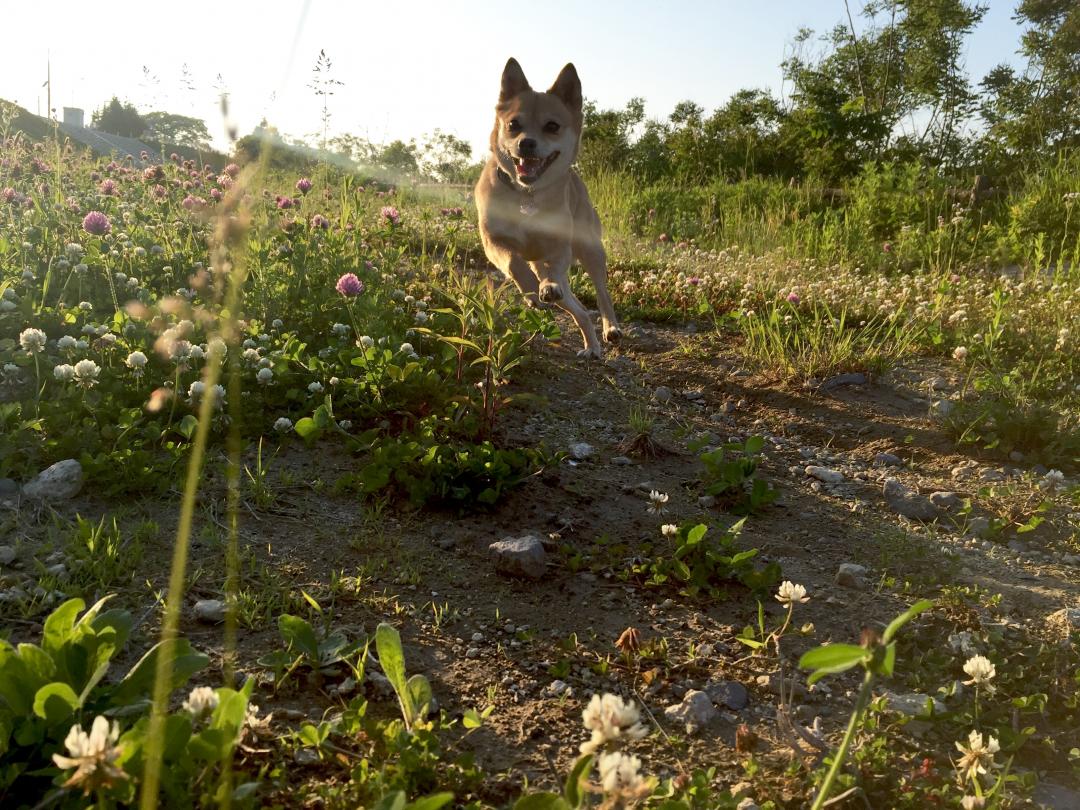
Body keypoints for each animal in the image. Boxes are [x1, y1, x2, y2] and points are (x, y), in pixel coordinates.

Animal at [475, 57, 622, 358]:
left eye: (552, 126)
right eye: (513, 124)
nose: (526, 143)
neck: (528, 194)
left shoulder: (559, 247)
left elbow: (555, 268)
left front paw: (547, 286)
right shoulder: (493, 242)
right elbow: (514, 262)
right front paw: (532, 290)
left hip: (591, 250)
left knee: (602, 295)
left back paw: (609, 328)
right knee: (579, 310)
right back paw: (591, 345)